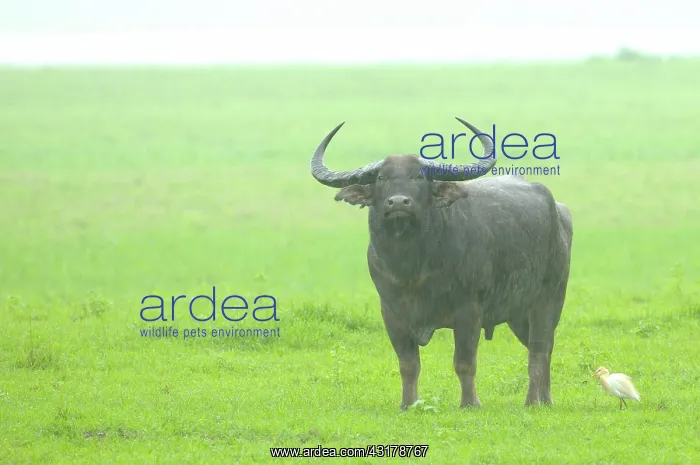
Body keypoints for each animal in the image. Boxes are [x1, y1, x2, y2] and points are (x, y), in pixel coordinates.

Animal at [309, 117, 573, 409]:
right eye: (381, 178)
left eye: (418, 177)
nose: (398, 202)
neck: (413, 267)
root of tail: (559, 211)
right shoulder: (391, 313)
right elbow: (408, 364)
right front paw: (408, 404)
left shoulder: (469, 311)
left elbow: (464, 362)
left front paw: (470, 403)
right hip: (517, 312)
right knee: (542, 347)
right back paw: (546, 399)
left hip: (548, 299)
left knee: (539, 349)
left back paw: (532, 401)